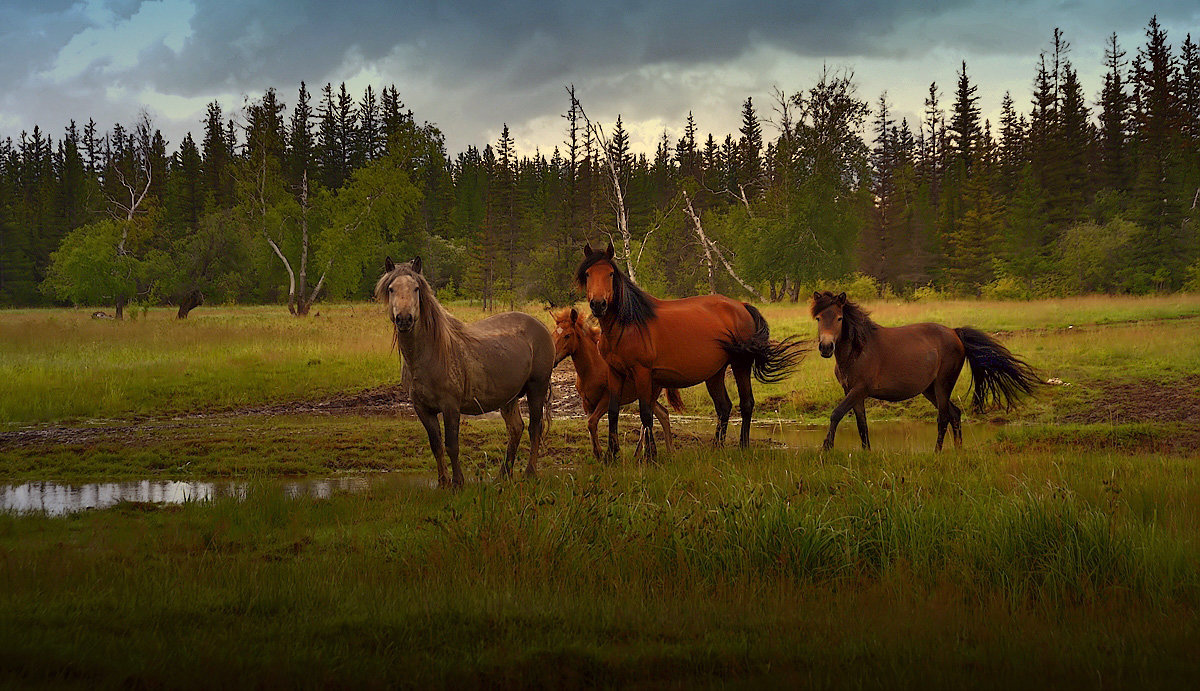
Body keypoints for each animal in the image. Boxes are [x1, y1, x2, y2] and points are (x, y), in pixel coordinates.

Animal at [372, 256, 554, 489]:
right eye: (391, 289)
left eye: (416, 288)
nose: (404, 319)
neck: (428, 354)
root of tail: (540, 325)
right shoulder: (422, 409)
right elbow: (436, 446)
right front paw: (443, 483)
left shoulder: (450, 406)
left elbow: (452, 445)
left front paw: (458, 483)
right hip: (509, 397)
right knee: (516, 429)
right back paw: (503, 475)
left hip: (536, 387)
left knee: (534, 428)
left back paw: (530, 472)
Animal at [552, 307, 686, 458]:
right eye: (553, 334)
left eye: (567, 335)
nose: (553, 358)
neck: (593, 368)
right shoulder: (587, 403)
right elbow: (591, 426)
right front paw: (598, 453)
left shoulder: (606, 399)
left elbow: (592, 423)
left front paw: (601, 453)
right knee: (663, 413)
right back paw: (667, 451)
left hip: (651, 393)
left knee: (649, 419)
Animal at [576, 242, 801, 458]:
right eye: (588, 274)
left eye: (610, 274)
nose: (598, 304)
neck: (628, 324)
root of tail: (742, 306)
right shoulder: (615, 372)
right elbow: (613, 411)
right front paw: (611, 455)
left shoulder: (642, 373)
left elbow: (646, 414)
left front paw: (649, 456)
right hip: (715, 373)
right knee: (724, 407)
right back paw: (716, 448)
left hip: (741, 364)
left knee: (746, 403)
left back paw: (743, 447)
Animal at [806, 290, 1041, 448]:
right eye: (818, 318)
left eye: (839, 318)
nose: (826, 347)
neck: (857, 350)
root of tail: (955, 333)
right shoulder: (852, 391)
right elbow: (861, 425)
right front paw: (866, 452)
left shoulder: (860, 389)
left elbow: (836, 414)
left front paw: (827, 447)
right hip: (929, 389)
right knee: (955, 414)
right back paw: (958, 450)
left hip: (943, 385)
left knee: (943, 418)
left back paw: (937, 452)